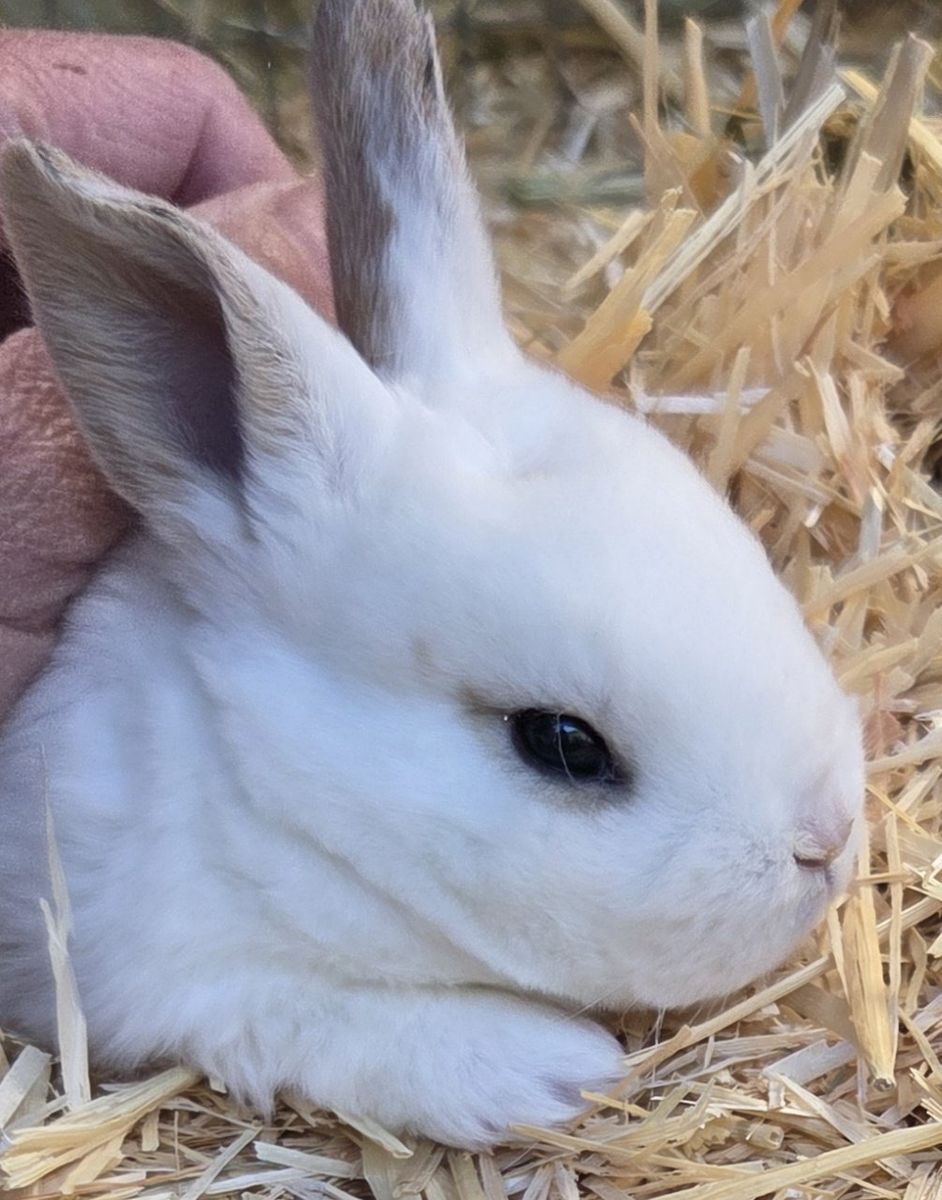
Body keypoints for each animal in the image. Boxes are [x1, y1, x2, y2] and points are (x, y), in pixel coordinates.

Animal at [0, 0, 864, 1149]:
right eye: (563, 744)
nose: (827, 839)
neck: (254, 782)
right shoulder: (133, 960)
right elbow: (305, 1017)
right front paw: (548, 1071)